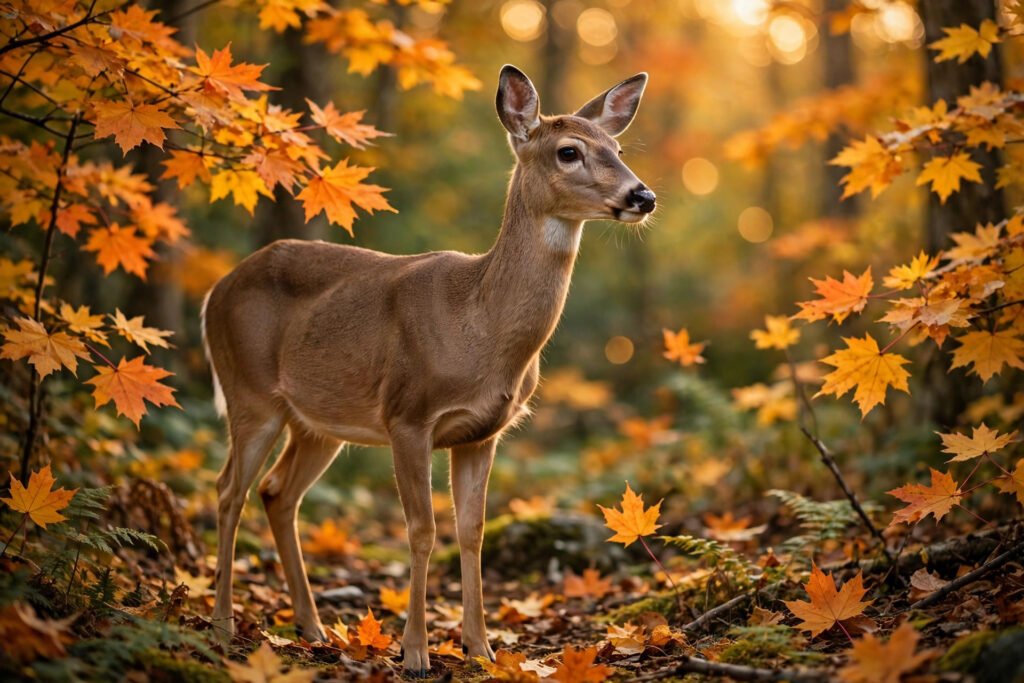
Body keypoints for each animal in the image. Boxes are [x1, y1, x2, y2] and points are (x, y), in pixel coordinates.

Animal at [202, 64, 655, 676]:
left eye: (619, 148)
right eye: (568, 151)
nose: (643, 195)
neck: (480, 328)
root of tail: (215, 291)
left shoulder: (482, 434)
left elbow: (472, 532)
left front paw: (481, 647)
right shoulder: (408, 415)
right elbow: (421, 531)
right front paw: (415, 651)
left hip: (318, 423)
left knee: (278, 492)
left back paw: (313, 627)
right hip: (249, 392)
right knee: (230, 490)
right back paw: (224, 625)